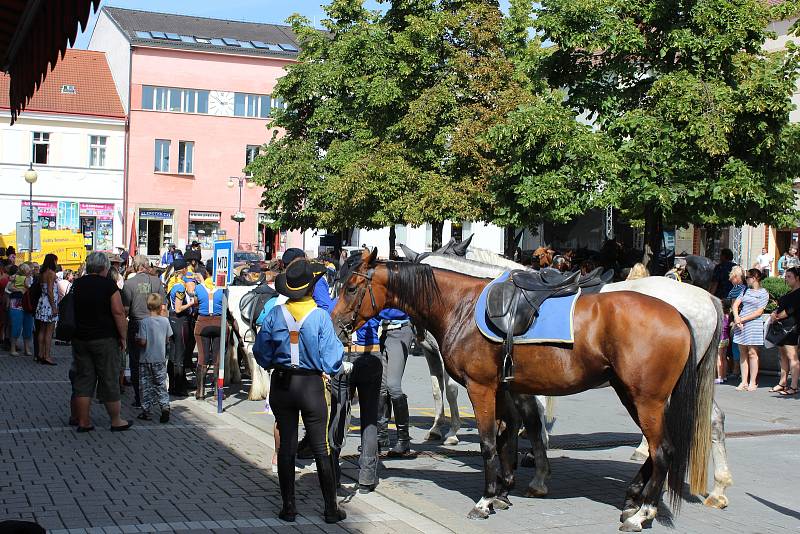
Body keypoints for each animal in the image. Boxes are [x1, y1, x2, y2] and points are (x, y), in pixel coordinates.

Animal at [332, 249, 720, 532]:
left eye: (351, 287)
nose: (336, 324)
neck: (460, 305)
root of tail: (681, 312)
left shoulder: (481, 387)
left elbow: (491, 440)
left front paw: (487, 499)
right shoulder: (506, 389)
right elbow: (510, 433)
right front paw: (506, 490)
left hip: (647, 398)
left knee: (664, 449)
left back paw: (645, 512)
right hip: (634, 394)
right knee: (662, 447)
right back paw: (636, 499)